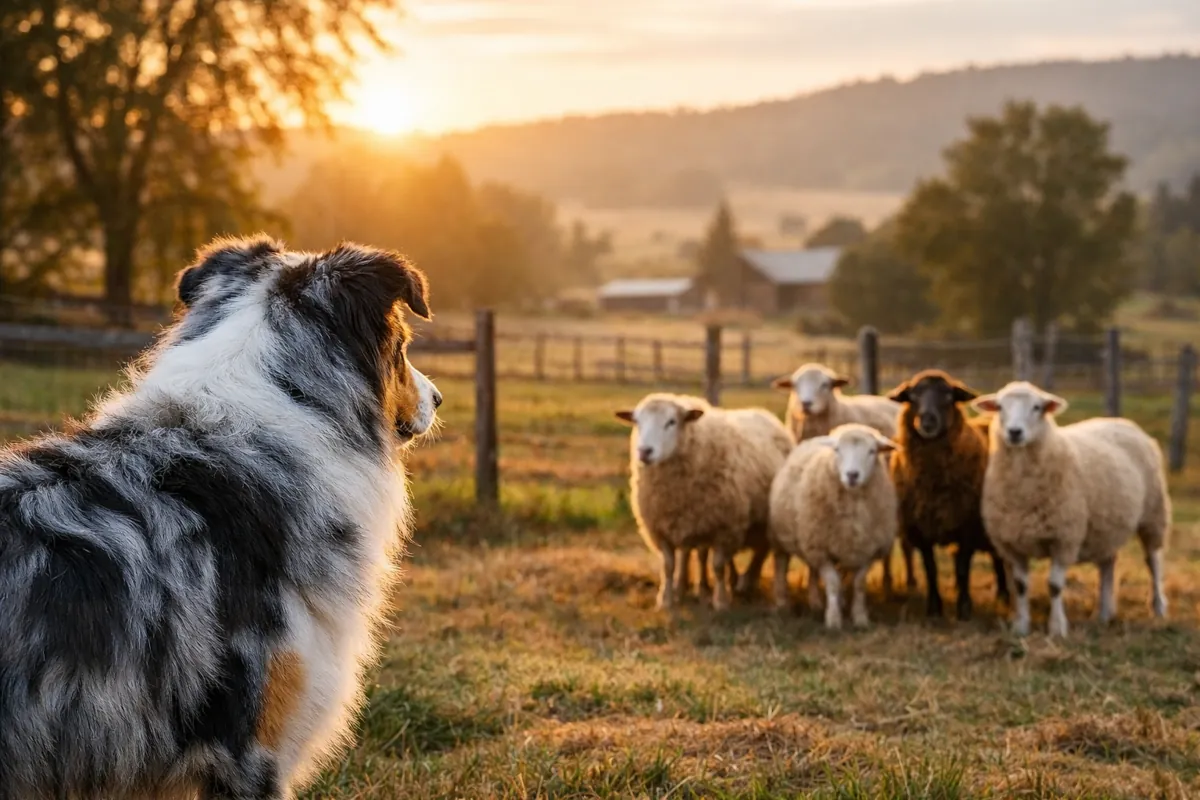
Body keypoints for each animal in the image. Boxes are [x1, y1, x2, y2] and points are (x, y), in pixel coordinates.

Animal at [616, 393, 794, 611]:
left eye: (671, 422)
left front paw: (721, 601)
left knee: (760, 552)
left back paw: (746, 583)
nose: (644, 451)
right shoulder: (661, 527)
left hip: (765, 520)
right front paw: (666, 599)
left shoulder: (725, 527)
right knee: (698, 553)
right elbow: (668, 565)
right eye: (637, 422)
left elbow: (717, 565)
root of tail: (763, 413)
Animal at [769, 424, 899, 629]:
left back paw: (816, 602)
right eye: (838, 450)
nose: (852, 475)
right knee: (781, 564)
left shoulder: (868, 550)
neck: (854, 503)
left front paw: (860, 618)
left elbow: (859, 585)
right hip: (787, 537)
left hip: (811, 540)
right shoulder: (822, 548)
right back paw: (783, 603)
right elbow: (833, 583)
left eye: (872, 451)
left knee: (813, 571)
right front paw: (833, 620)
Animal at [886, 369, 1010, 621]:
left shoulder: (969, 526)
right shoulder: (919, 528)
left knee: (998, 557)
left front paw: (964, 608)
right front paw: (934, 608)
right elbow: (931, 568)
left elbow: (962, 567)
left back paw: (1003, 594)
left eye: (948, 395)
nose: (927, 421)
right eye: (913, 395)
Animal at [972, 381, 1170, 638]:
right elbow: (1020, 586)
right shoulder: (1011, 543)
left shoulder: (1064, 538)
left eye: (1037, 407)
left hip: (1153, 513)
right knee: (1108, 564)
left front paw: (1057, 628)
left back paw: (1159, 607)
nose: (1015, 432)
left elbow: (1055, 586)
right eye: (999, 407)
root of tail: (1123, 421)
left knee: (1153, 561)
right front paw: (1021, 626)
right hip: (1108, 525)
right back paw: (1104, 613)